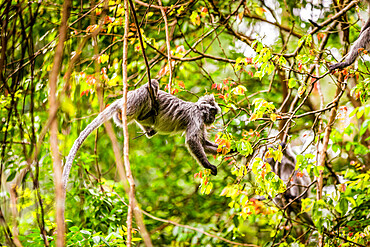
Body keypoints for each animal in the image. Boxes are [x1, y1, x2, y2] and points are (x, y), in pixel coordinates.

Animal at [62, 80, 221, 188]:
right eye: (213, 112)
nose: (213, 118)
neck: (199, 110)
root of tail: (125, 98)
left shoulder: (201, 123)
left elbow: (203, 143)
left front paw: (225, 150)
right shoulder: (196, 118)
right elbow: (192, 141)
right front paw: (208, 165)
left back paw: (149, 128)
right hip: (135, 101)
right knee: (152, 85)